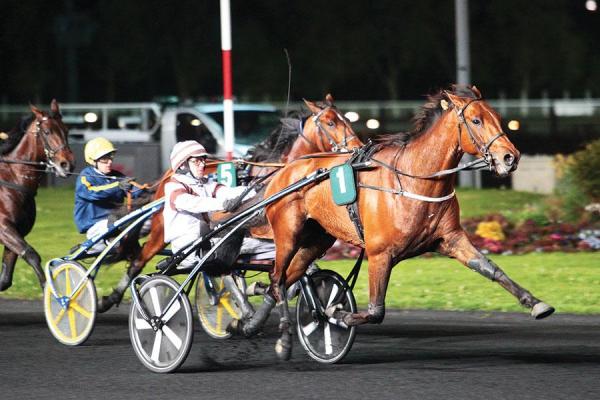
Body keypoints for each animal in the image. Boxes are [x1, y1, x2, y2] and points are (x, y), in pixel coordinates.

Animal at [0, 101, 75, 290]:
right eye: (47, 132)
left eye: (66, 130)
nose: (67, 164)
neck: (13, 178)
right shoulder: (4, 228)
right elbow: (32, 255)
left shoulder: (16, 231)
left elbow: (5, 280)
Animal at [97, 94, 360, 312]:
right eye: (330, 123)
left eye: (347, 119)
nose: (357, 147)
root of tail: (167, 175)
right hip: (162, 230)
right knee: (139, 261)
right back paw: (111, 299)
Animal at [237, 84, 556, 360]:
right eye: (476, 120)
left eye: (498, 119)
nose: (510, 157)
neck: (415, 178)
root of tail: (284, 171)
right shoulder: (380, 253)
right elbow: (375, 311)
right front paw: (336, 313)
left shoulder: (451, 240)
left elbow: (492, 270)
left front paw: (536, 303)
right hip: (288, 234)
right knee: (277, 279)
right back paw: (282, 338)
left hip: (316, 240)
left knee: (283, 279)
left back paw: (252, 324)